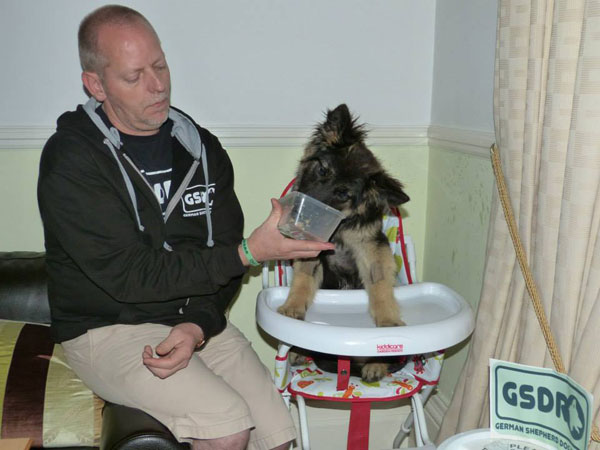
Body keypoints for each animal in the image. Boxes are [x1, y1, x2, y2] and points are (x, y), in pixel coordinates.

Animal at [278, 103, 410, 382]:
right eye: (322, 170)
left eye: (342, 193)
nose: (299, 211)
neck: (338, 228)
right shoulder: (311, 252)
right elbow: (303, 279)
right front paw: (293, 307)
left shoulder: (372, 247)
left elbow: (380, 285)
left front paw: (387, 321)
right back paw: (298, 352)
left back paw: (376, 365)